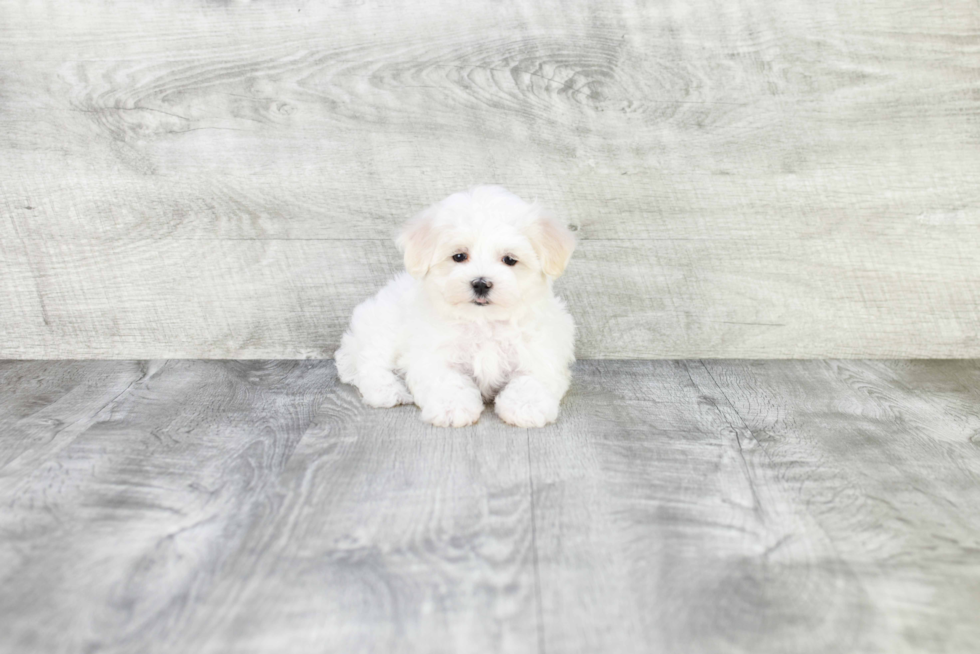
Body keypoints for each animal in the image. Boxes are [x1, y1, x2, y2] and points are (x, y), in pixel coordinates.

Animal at [334, 186, 580, 430]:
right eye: (459, 256)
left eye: (510, 260)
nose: (481, 283)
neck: (484, 321)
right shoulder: (432, 353)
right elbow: (447, 380)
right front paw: (452, 408)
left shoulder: (541, 353)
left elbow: (531, 380)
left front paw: (526, 407)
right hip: (384, 327)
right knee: (369, 363)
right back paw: (388, 391)